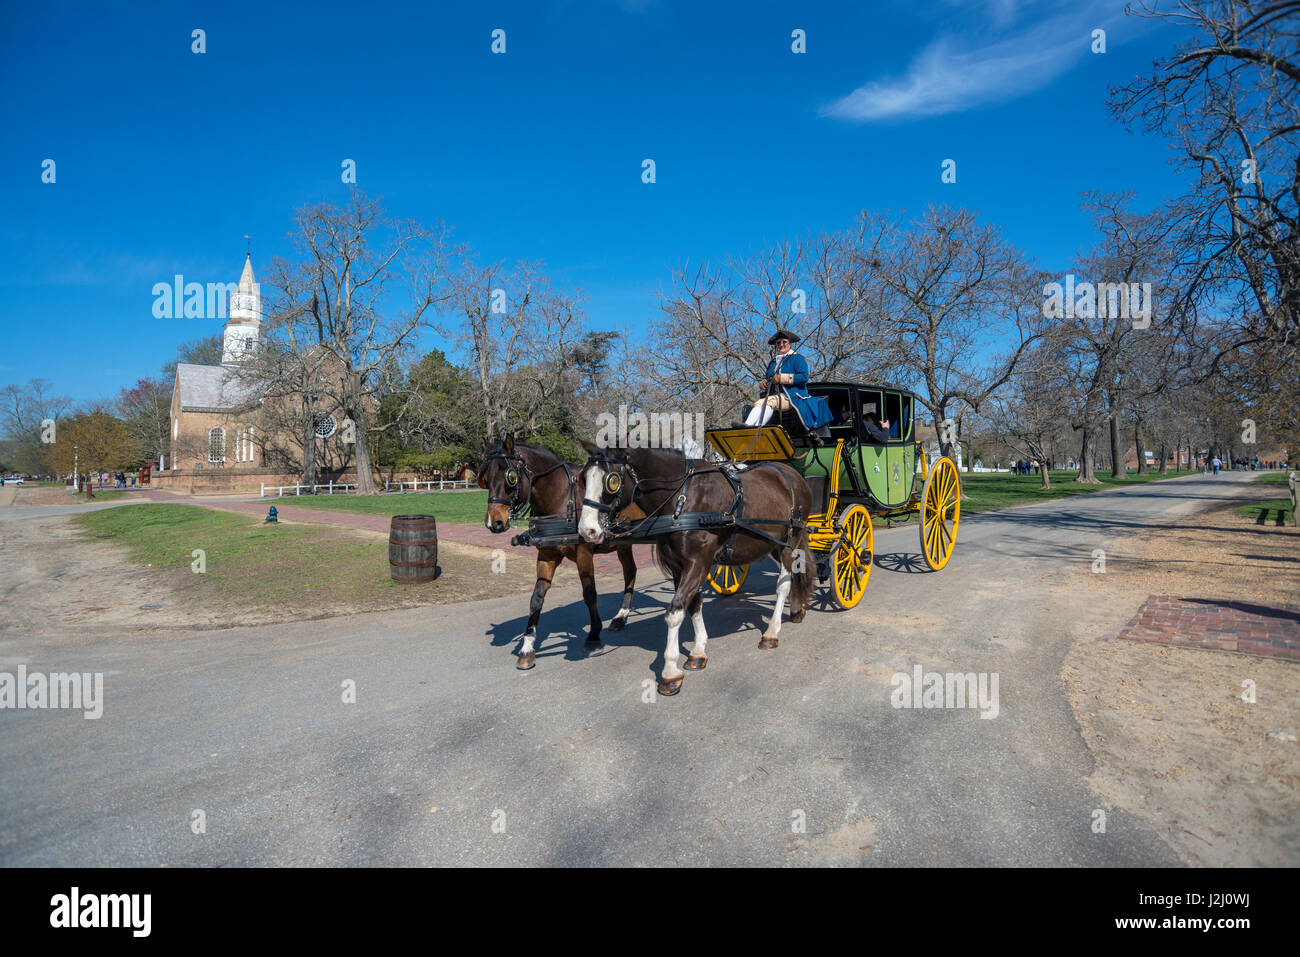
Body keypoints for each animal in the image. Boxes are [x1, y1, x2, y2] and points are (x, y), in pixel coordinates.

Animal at [478, 436, 639, 670]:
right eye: (486, 478)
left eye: (510, 478)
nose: (494, 522)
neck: (562, 499)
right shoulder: (547, 555)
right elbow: (536, 597)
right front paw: (527, 647)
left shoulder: (584, 553)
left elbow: (589, 594)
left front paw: (594, 636)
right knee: (631, 571)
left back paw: (622, 615)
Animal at [574, 442, 806, 696]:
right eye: (583, 478)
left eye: (611, 480)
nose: (587, 531)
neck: (682, 500)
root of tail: (791, 473)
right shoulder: (679, 566)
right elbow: (693, 604)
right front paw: (698, 652)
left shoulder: (698, 563)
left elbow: (675, 611)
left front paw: (670, 672)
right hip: (771, 545)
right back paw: (797, 609)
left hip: (790, 541)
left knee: (783, 585)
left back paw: (772, 632)